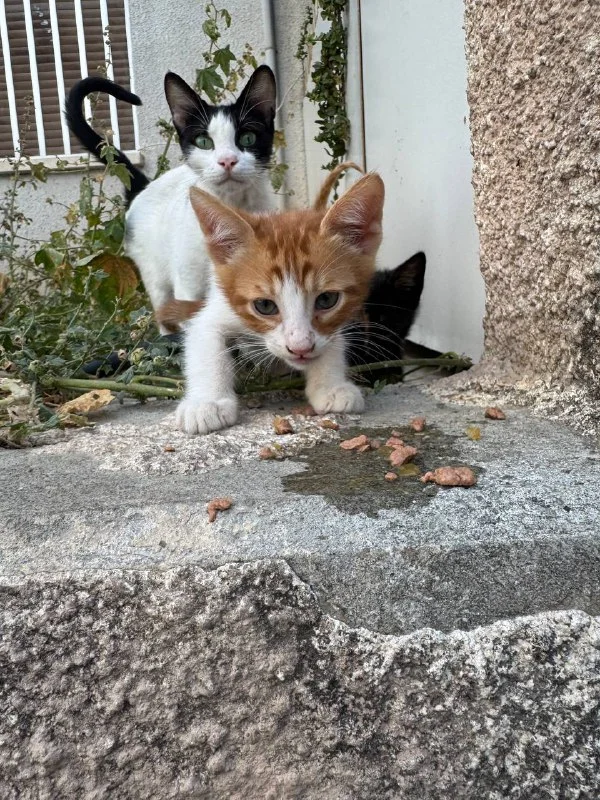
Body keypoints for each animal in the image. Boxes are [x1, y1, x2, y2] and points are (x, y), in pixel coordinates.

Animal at [66, 66, 277, 331]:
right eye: (204, 142)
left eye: (247, 138)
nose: (227, 161)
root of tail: (144, 186)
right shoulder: (188, 289)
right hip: (155, 276)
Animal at [176, 171, 385, 435]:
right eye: (264, 306)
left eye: (327, 299)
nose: (300, 348)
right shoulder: (216, 310)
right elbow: (206, 344)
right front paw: (207, 402)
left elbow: (332, 342)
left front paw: (331, 386)